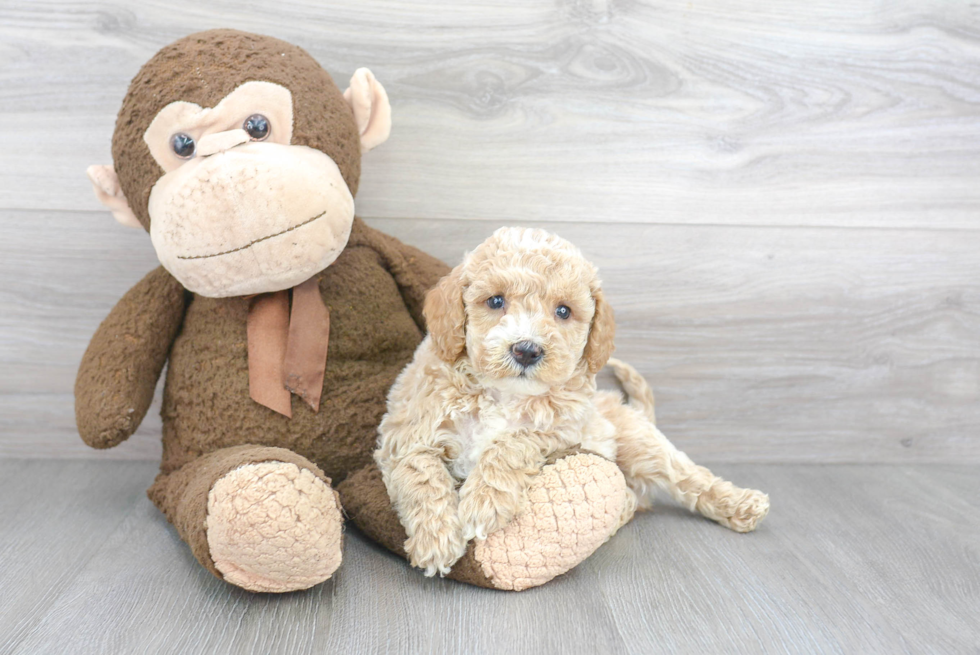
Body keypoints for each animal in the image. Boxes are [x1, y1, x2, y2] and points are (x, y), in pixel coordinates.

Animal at [378, 228, 768, 576]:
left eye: (564, 311)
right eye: (496, 301)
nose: (526, 349)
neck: (504, 394)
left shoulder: (563, 429)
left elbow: (513, 441)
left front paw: (485, 500)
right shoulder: (406, 433)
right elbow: (420, 475)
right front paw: (435, 540)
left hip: (641, 445)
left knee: (689, 480)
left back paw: (742, 505)